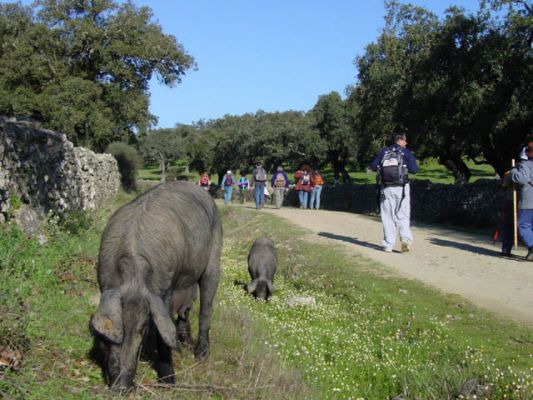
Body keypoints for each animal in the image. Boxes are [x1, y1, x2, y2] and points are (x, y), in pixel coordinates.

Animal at [89, 181, 220, 390]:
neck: (133, 279)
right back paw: (184, 342)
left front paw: (169, 383)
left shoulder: (164, 290)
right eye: (119, 329)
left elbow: (162, 336)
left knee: (206, 308)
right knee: (186, 310)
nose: (122, 388)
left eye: (143, 329)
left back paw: (201, 356)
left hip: (214, 255)